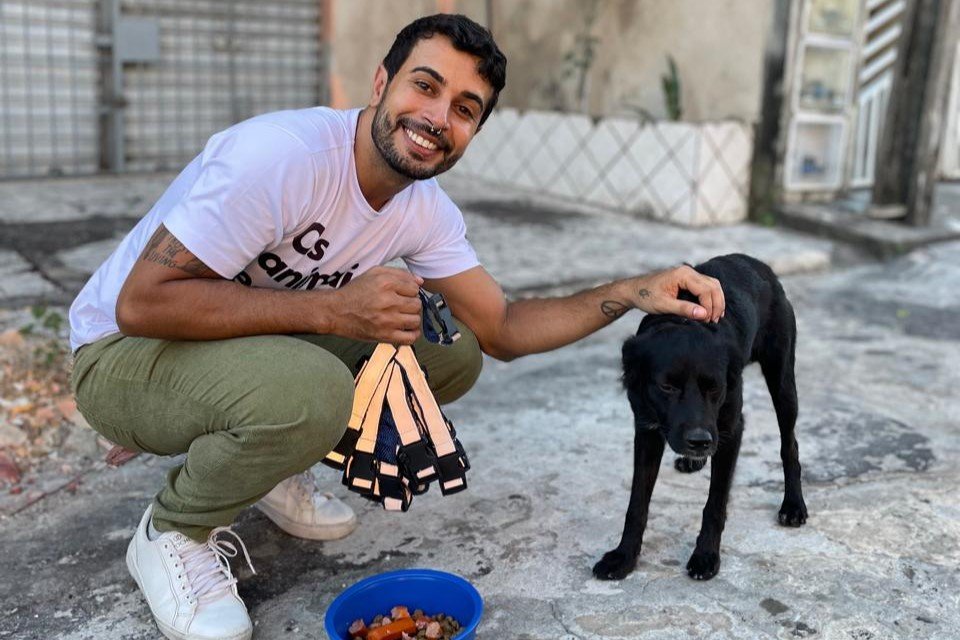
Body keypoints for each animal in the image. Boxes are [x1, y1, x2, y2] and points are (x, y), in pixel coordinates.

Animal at [596, 252, 808, 584]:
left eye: (714, 387)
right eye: (667, 386)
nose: (699, 440)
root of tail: (756, 263)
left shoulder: (731, 430)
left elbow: (715, 503)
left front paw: (706, 555)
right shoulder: (646, 429)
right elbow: (637, 503)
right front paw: (624, 556)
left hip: (783, 382)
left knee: (790, 445)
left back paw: (793, 505)